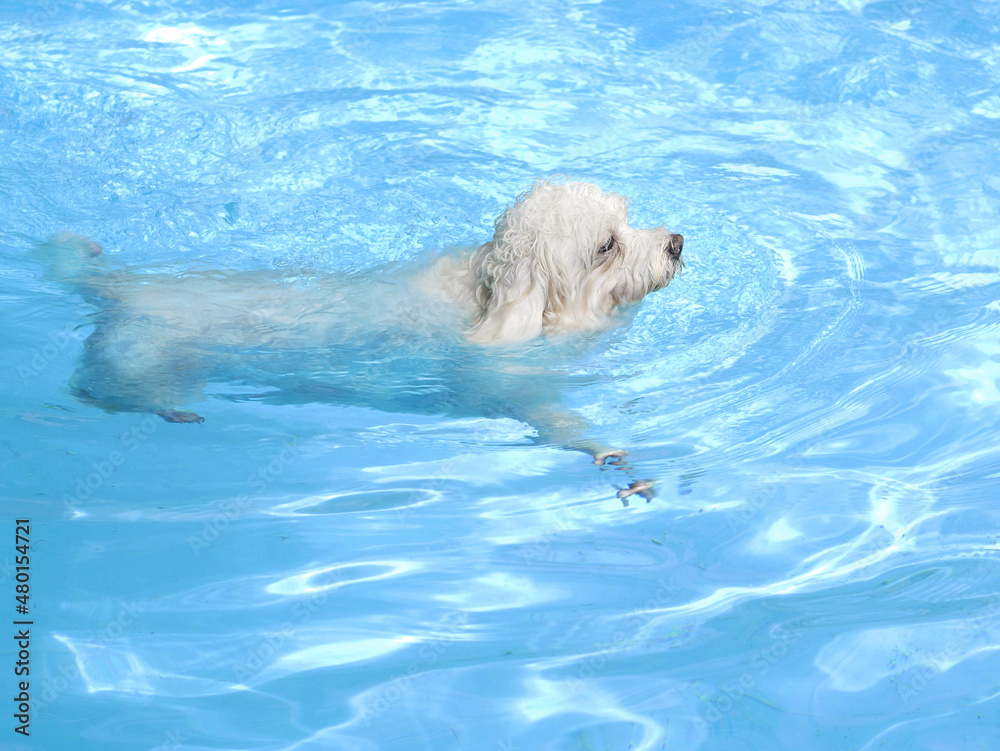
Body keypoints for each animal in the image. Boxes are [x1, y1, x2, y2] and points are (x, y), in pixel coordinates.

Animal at [37, 180, 680, 478]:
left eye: (628, 218)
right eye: (606, 245)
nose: (675, 242)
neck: (486, 297)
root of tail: (121, 285)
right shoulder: (507, 387)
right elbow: (555, 420)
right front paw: (607, 452)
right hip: (134, 359)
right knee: (102, 390)